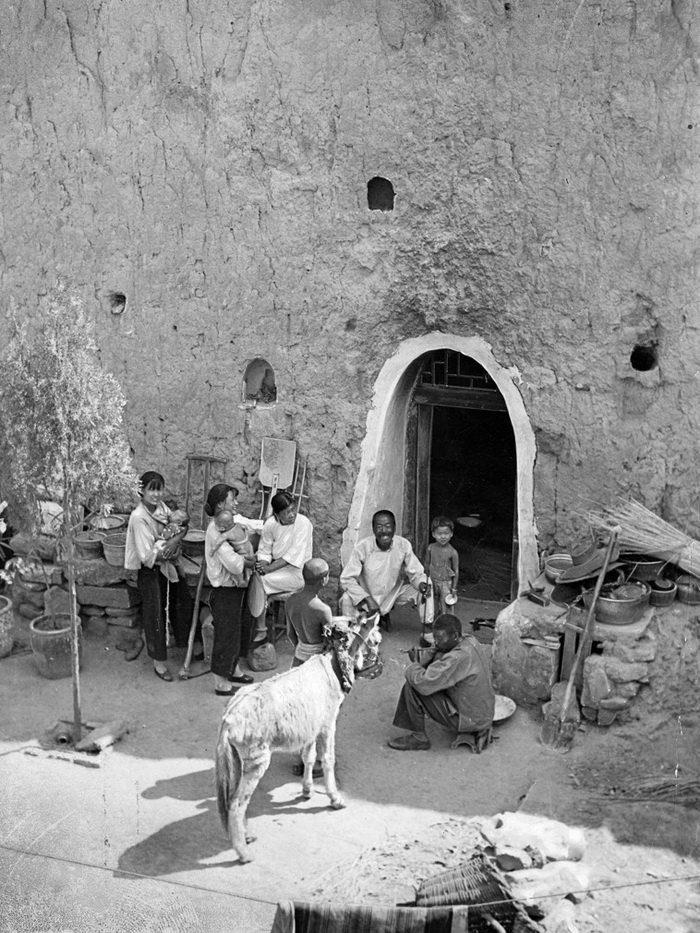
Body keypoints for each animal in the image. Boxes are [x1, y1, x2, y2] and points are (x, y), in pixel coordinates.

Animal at [219, 616, 382, 864]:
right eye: (375, 640)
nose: (378, 665)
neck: (333, 666)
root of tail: (228, 718)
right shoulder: (327, 725)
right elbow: (327, 759)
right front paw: (335, 799)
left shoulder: (310, 728)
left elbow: (308, 756)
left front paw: (306, 790)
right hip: (257, 761)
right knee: (237, 803)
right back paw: (243, 853)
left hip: (237, 762)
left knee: (231, 799)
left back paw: (245, 837)